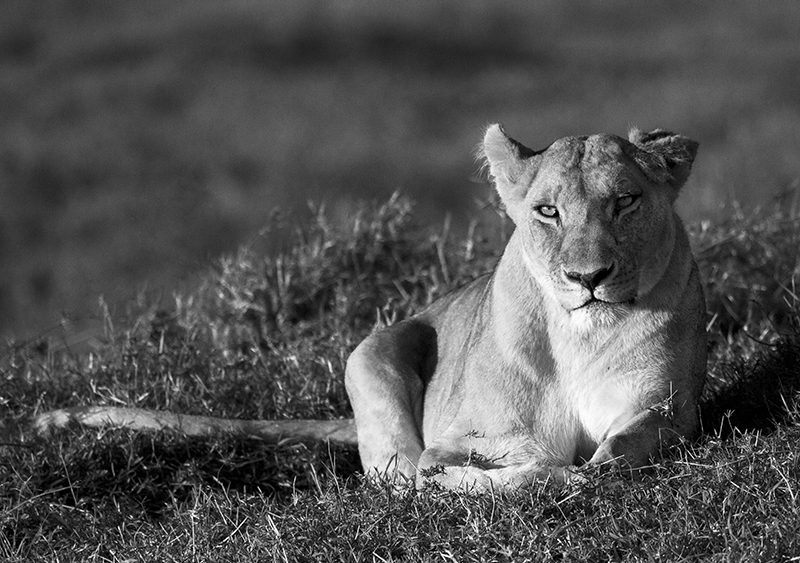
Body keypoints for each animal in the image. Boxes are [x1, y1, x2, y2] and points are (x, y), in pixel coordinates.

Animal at [33, 124, 706, 492]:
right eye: (548, 211)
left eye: (625, 201)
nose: (588, 278)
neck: (578, 335)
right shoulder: (465, 439)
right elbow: (480, 468)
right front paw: (522, 477)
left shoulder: (665, 412)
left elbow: (611, 459)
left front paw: (570, 472)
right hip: (371, 351)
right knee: (395, 480)